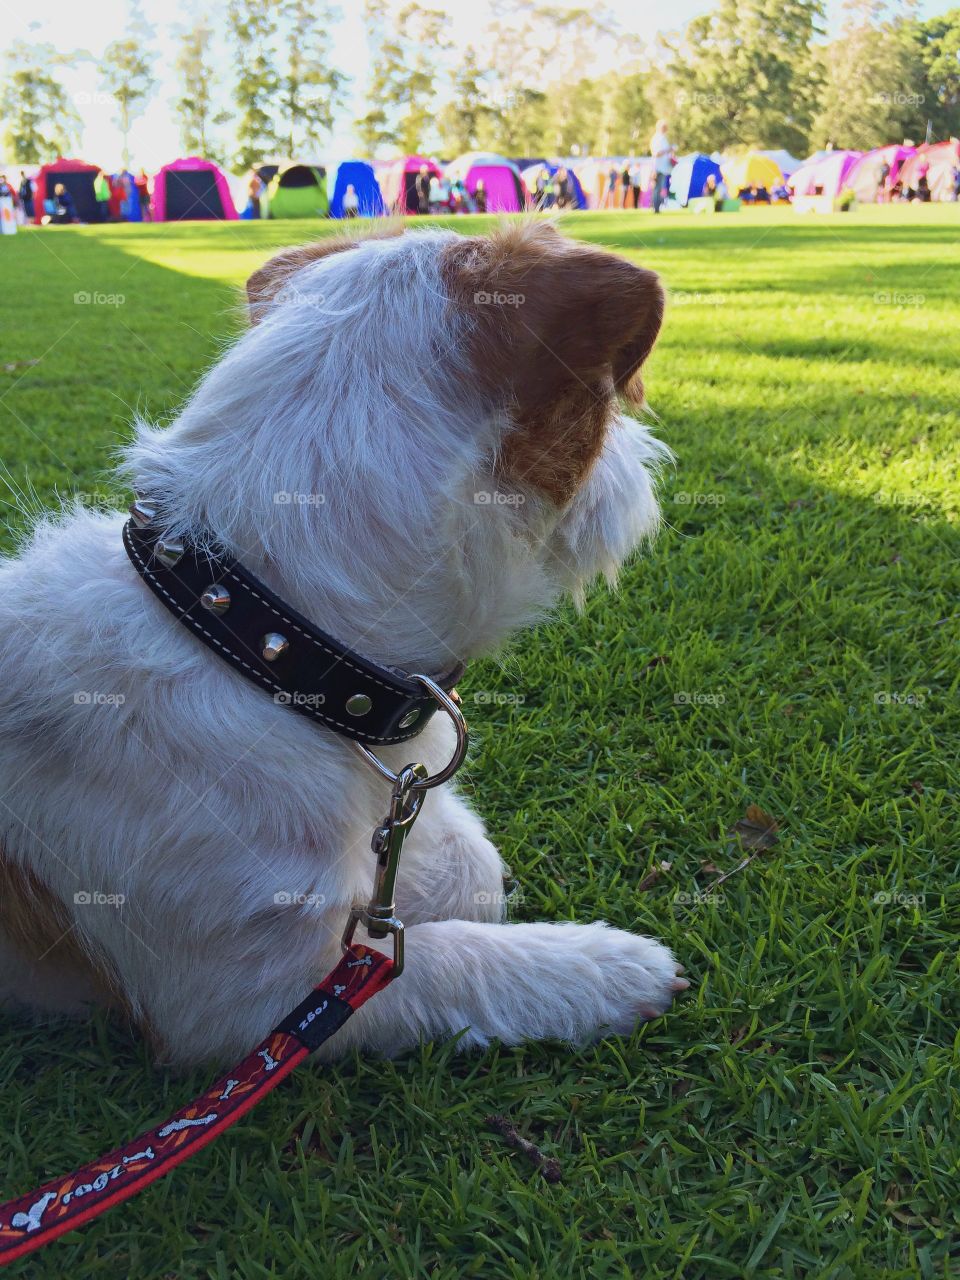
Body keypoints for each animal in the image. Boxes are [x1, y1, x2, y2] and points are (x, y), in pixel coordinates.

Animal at [0, 225, 691, 1064]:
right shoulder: (254, 1006)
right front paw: (609, 967)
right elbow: (453, 962)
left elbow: (467, 866)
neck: (254, 639)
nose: (654, 458)